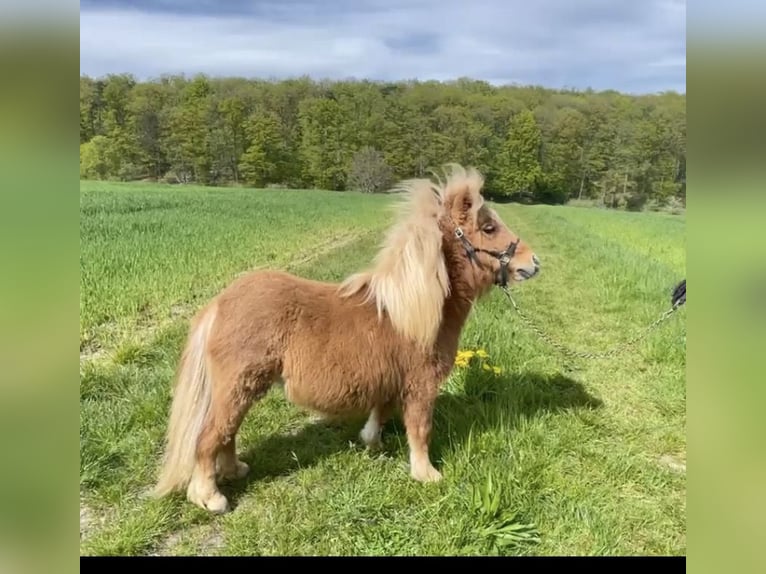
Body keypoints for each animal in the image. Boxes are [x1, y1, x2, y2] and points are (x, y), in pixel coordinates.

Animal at [151, 163, 541, 514]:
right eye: (488, 227)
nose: (533, 262)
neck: (411, 310)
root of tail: (217, 304)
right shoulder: (420, 386)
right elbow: (420, 429)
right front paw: (426, 474)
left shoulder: (391, 380)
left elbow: (381, 413)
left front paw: (373, 444)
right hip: (237, 386)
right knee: (209, 437)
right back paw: (210, 497)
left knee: (227, 433)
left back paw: (234, 471)